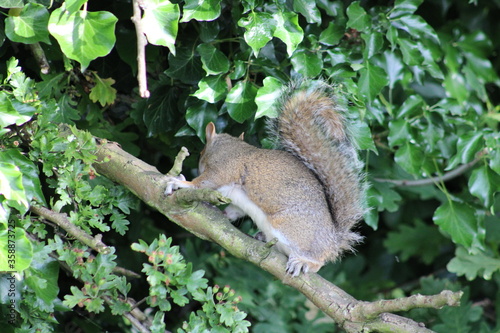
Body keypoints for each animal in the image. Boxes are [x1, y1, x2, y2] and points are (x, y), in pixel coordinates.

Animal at [166, 80, 366, 274]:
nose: (197, 164)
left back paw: (304, 262)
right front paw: (221, 212)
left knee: (318, 261)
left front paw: (180, 182)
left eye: (201, 153)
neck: (229, 148)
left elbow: (203, 183)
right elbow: (234, 210)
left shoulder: (223, 169)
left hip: (289, 228)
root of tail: (333, 240)